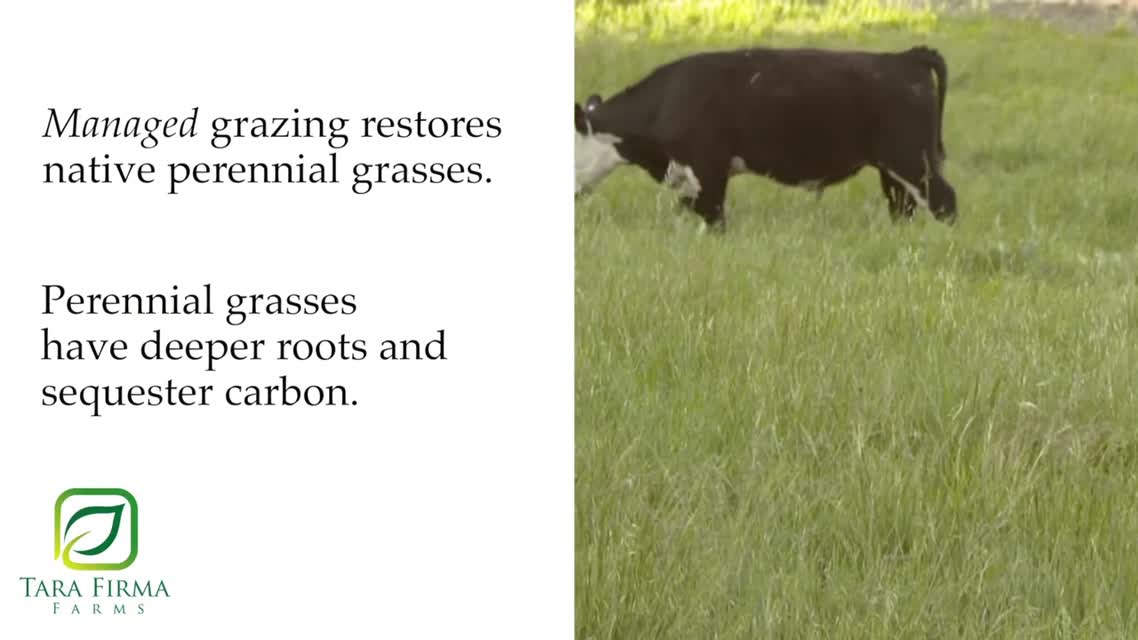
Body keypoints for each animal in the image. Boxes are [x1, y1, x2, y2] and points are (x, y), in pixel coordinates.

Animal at [574, 45, 958, 232]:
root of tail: (905, 57)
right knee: (903, 209)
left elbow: (714, 218)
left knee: (944, 202)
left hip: (912, 159)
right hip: (892, 170)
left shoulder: (708, 170)